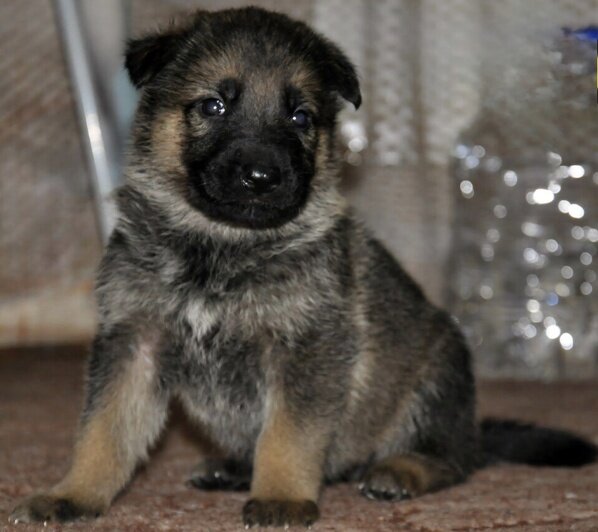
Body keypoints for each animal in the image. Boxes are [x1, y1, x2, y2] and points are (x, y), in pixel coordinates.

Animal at [8, 7, 596, 528]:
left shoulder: (304, 351)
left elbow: (288, 435)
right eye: (214, 106)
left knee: (455, 460)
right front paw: (73, 494)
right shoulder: (135, 344)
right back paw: (234, 468)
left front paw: (282, 497)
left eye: (301, 117)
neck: (220, 249)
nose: (263, 175)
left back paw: (401, 469)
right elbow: (103, 432)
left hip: (437, 373)